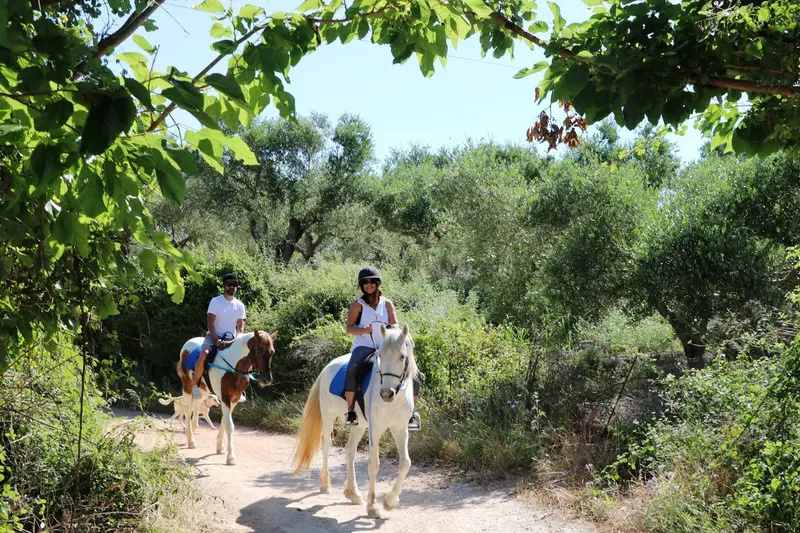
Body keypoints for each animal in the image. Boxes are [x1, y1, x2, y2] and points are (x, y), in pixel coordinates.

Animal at [177, 330, 277, 465]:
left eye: (272, 352)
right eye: (258, 351)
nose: (266, 379)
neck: (233, 368)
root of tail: (188, 343)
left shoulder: (234, 399)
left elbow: (224, 420)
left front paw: (220, 447)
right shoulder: (225, 397)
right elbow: (229, 425)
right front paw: (231, 457)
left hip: (204, 390)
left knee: (197, 404)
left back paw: (194, 427)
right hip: (187, 386)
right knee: (188, 410)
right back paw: (191, 440)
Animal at [292, 323, 418, 519]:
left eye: (402, 356)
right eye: (380, 355)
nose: (386, 394)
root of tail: (328, 366)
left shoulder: (400, 429)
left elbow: (405, 462)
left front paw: (390, 501)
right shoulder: (376, 429)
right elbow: (374, 465)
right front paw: (373, 507)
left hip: (358, 426)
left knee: (349, 450)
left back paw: (353, 493)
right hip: (328, 416)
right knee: (326, 444)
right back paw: (325, 484)